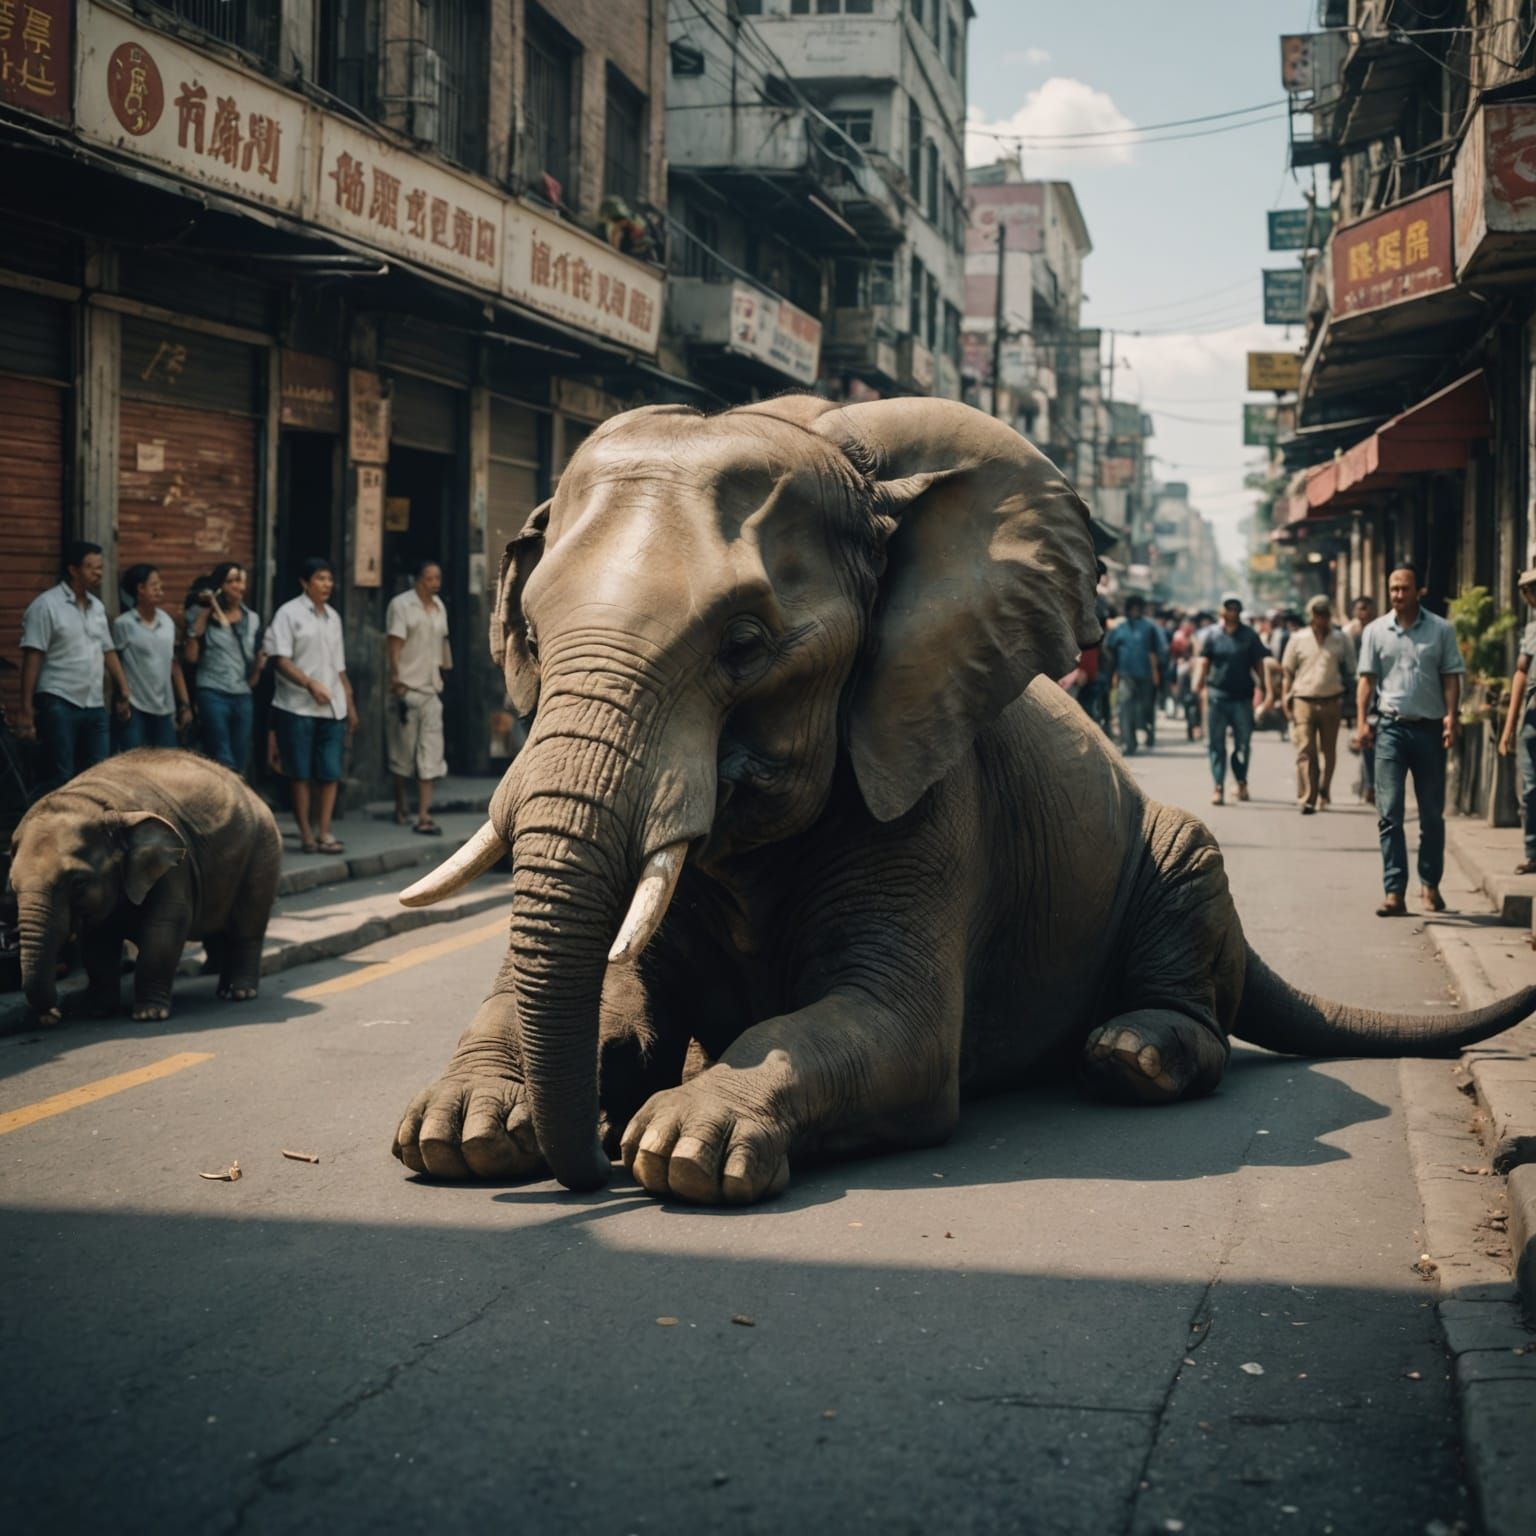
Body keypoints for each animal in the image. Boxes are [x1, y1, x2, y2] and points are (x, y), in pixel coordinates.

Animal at [9, 748, 282, 1022]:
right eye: (12, 886)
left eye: (78, 882)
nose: (54, 1014)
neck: (98, 803)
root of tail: (248, 787)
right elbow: (97, 941)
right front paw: (96, 1011)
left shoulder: (176, 866)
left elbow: (165, 924)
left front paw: (149, 1015)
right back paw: (222, 987)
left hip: (263, 849)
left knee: (247, 925)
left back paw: (239, 993)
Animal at [391, 396, 1536, 1205]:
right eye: (531, 633)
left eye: (745, 645)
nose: (588, 1164)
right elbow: (621, 998)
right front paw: (464, 1133)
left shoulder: (935, 800)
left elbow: (899, 1032)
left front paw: (677, 1149)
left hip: (1174, 854)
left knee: (1183, 908)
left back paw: (1131, 1054)